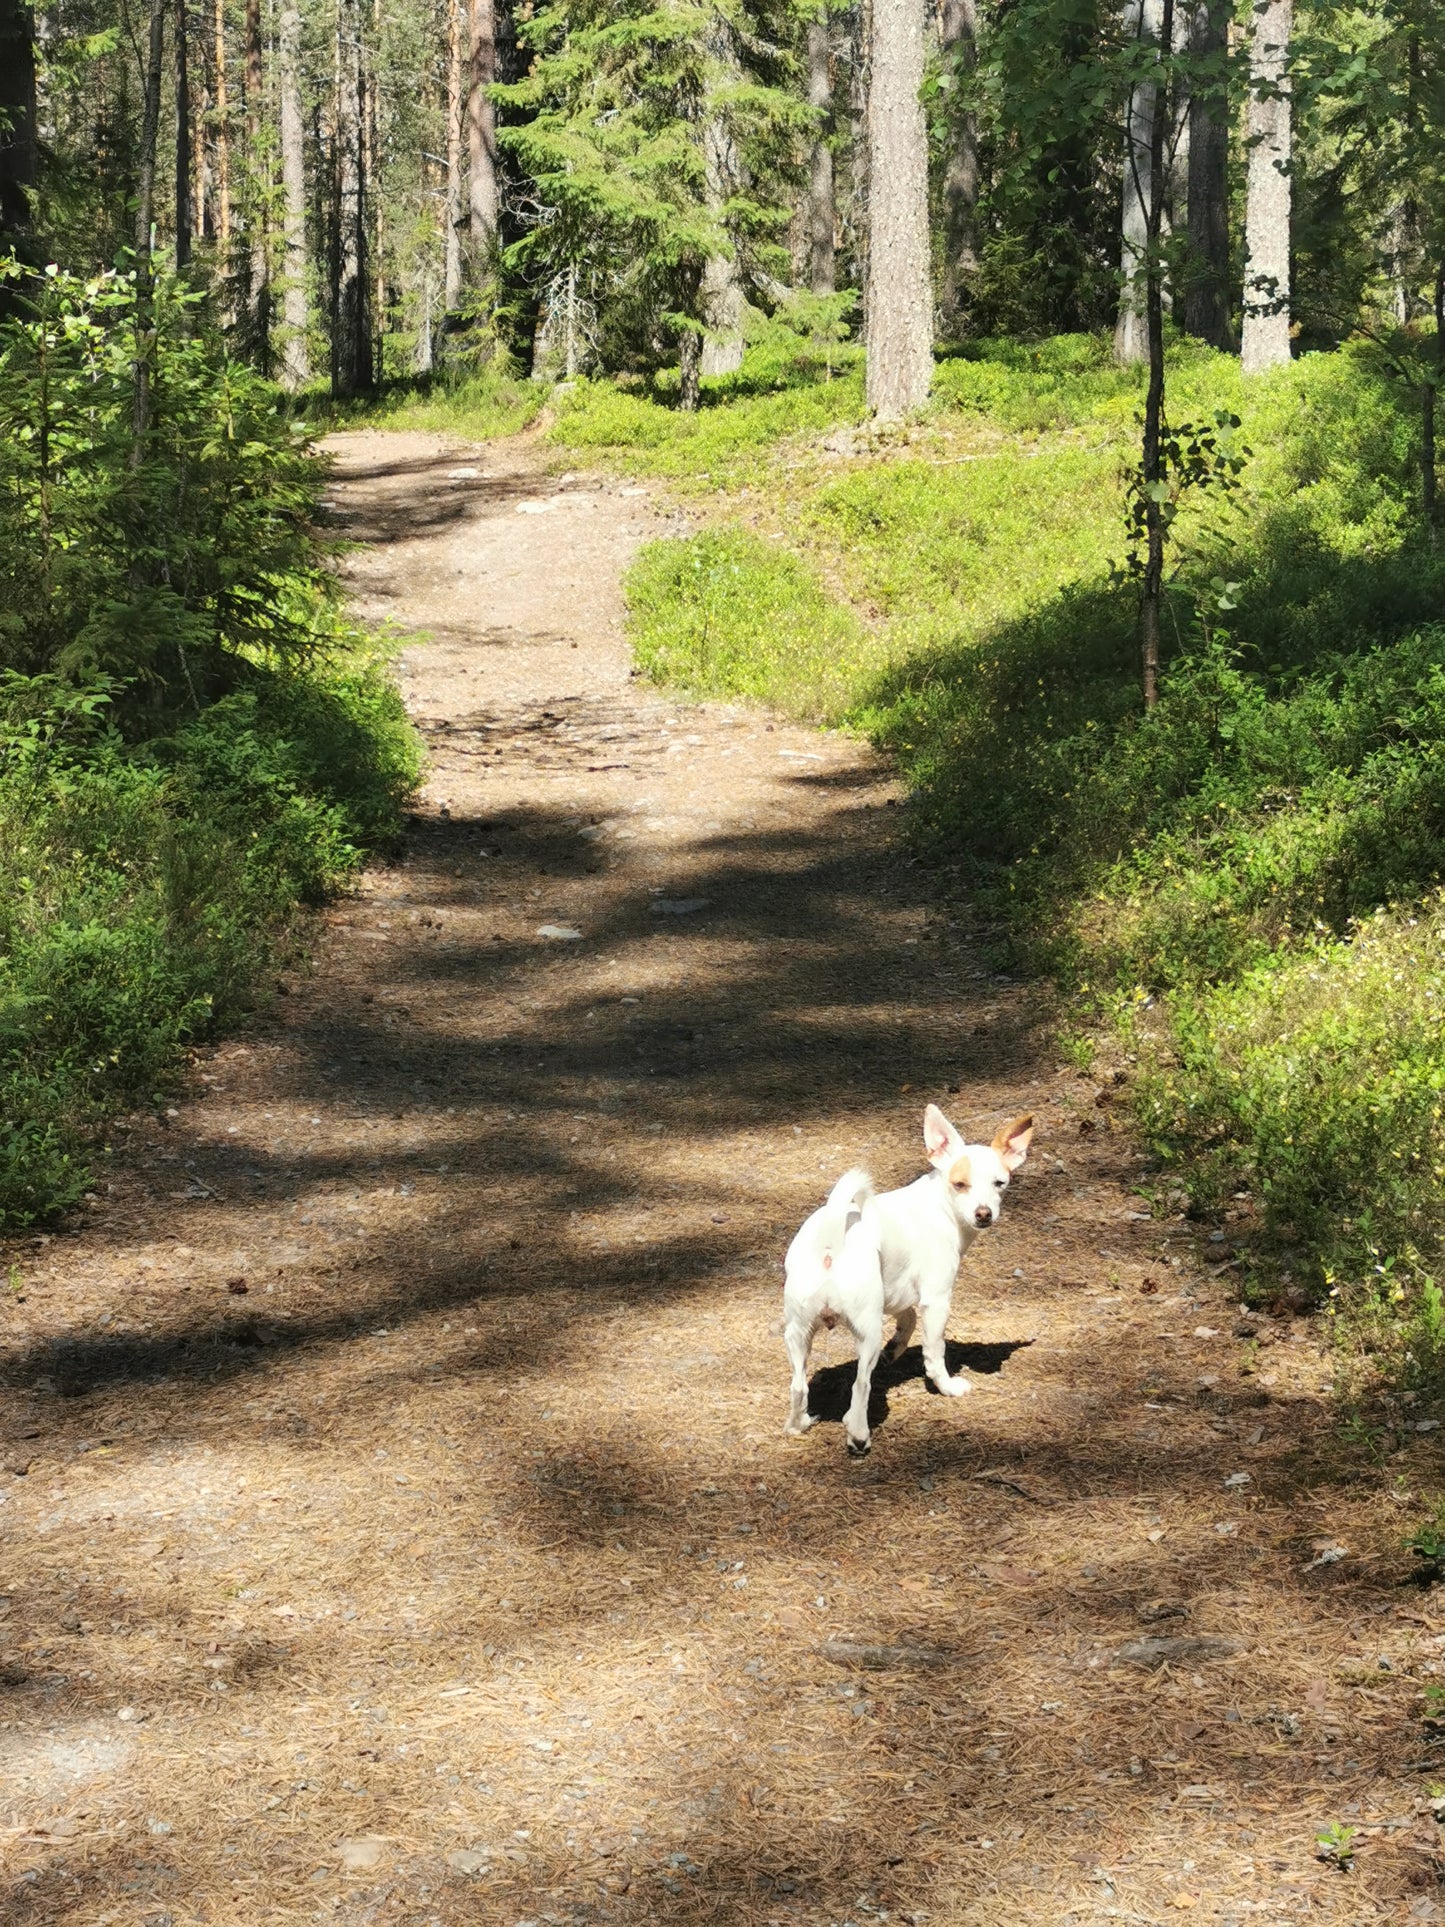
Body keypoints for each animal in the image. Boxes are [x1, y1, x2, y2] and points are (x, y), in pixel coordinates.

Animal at [786, 1109, 1032, 1449]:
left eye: (1000, 1183)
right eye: (960, 1184)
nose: (983, 1213)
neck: (940, 1205)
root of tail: (830, 1243)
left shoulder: (896, 1292)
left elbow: (908, 1318)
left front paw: (896, 1347)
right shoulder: (937, 1301)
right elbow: (935, 1351)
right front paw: (946, 1386)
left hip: (798, 1334)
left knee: (799, 1386)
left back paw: (799, 1424)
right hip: (867, 1333)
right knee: (860, 1387)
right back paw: (859, 1435)